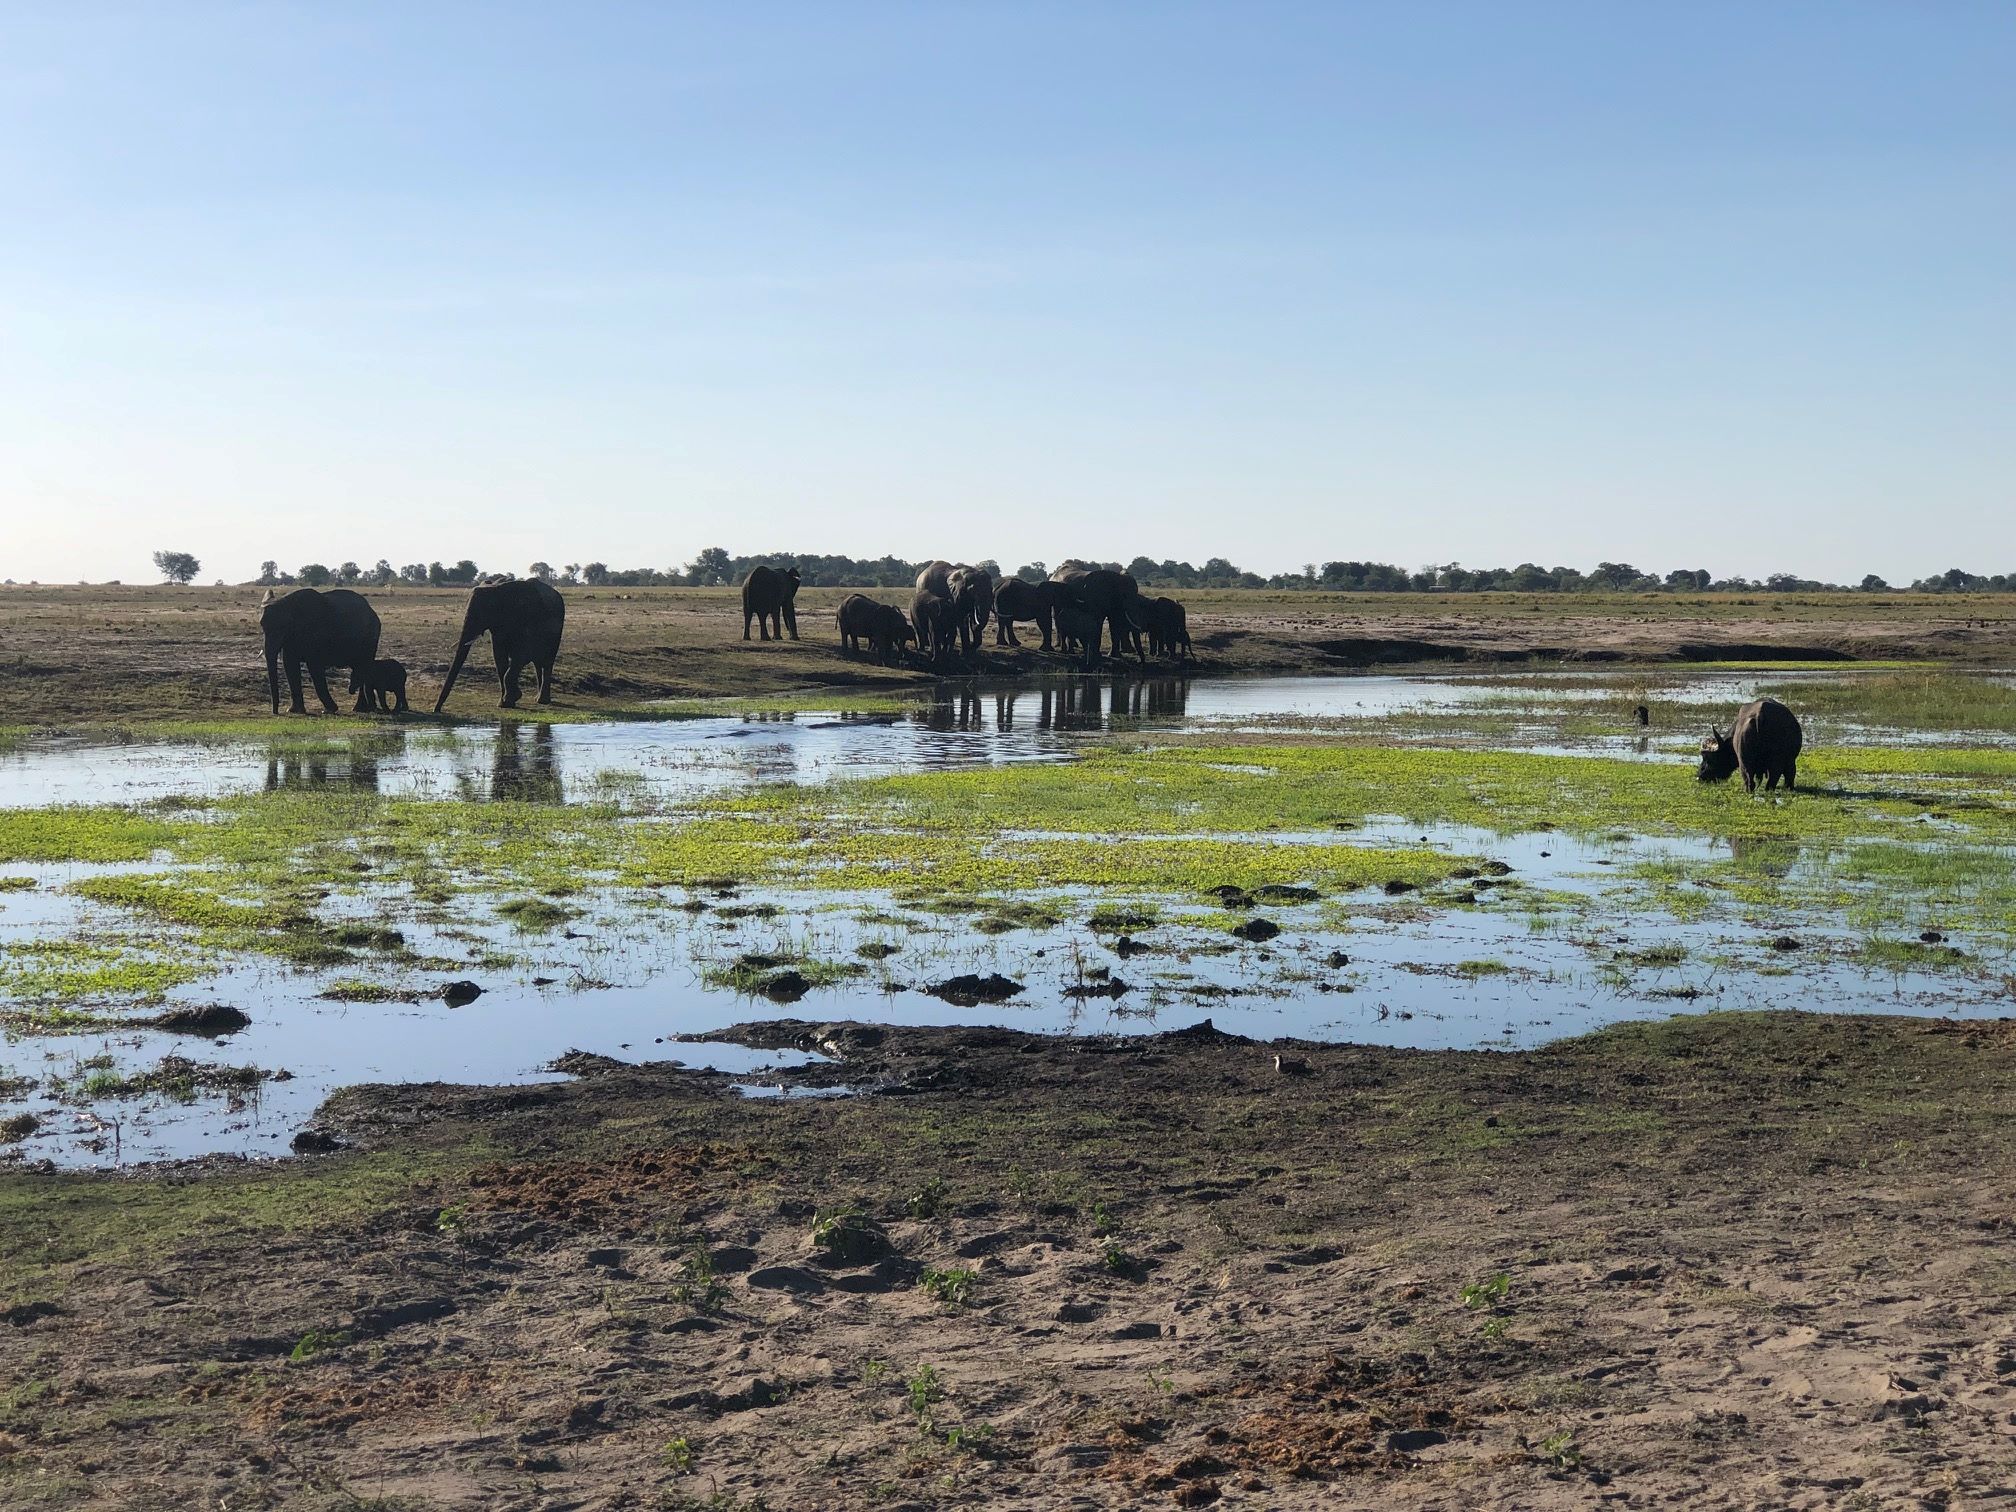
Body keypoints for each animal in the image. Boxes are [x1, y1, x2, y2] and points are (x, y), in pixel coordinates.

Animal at [260, 584, 381, 717]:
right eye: (262, 626)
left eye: (283, 627)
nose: (276, 713)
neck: (288, 603)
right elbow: (290, 664)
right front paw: (294, 711)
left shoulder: (315, 633)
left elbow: (314, 666)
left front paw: (329, 710)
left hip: (371, 639)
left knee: (363, 667)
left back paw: (359, 709)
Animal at [433, 576, 568, 713]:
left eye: (485, 611)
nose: (437, 710)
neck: (497, 588)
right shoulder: (498, 627)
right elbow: (499, 657)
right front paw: (505, 702)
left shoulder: (527, 619)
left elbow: (521, 655)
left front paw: (511, 699)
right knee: (538, 663)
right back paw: (537, 699)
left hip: (556, 630)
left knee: (547, 661)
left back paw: (543, 701)